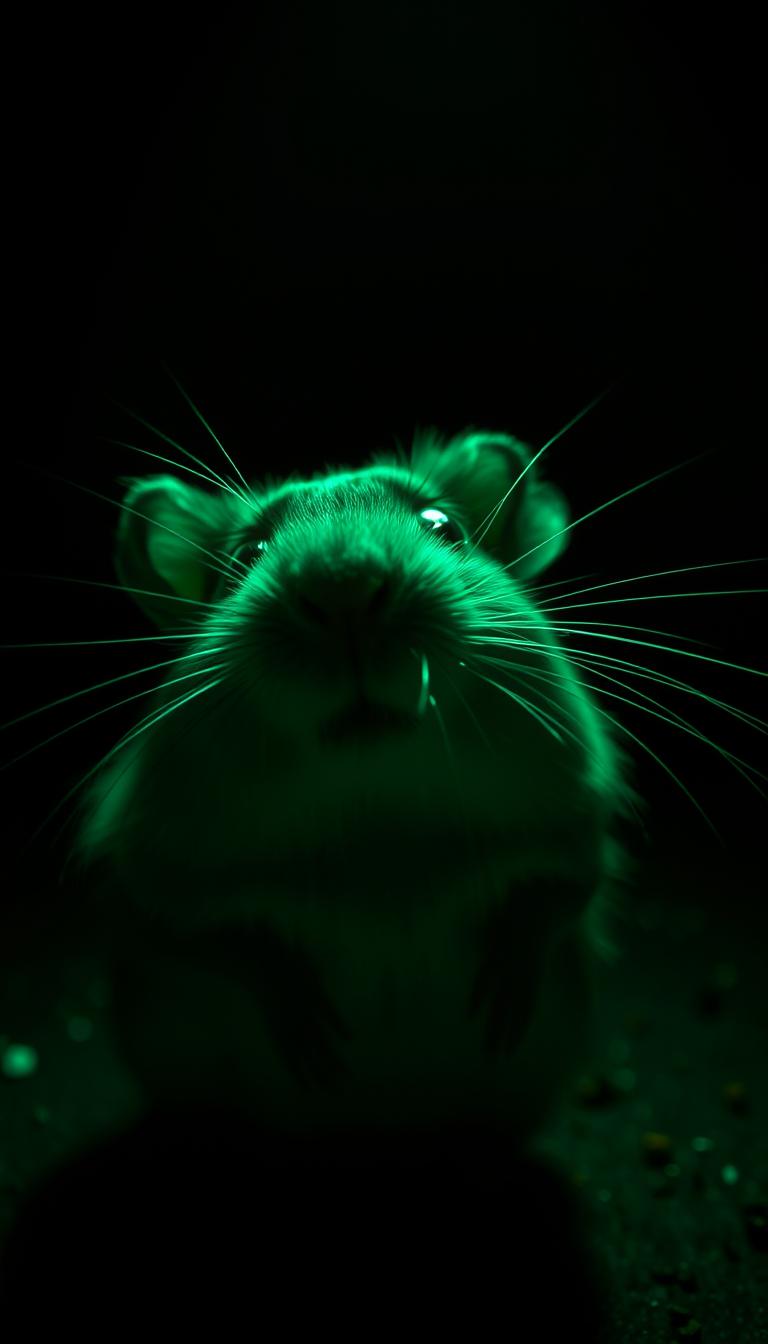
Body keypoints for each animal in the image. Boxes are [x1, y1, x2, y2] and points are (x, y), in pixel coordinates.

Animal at [73, 427, 633, 1144]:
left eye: (444, 527)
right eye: (246, 557)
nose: (345, 587)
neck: (377, 813)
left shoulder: (576, 830)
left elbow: (557, 896)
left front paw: (503, 997)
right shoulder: (150, 881)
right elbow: (213, 942)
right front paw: (309, 1032)